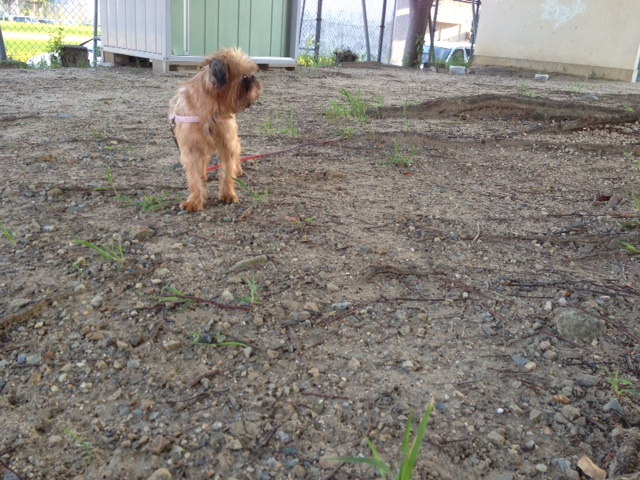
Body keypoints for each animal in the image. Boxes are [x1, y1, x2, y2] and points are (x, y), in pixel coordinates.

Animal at [169, 48, 263, 211]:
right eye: (245, 77)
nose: (255, 79)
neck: (210, 112)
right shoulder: (190, 149)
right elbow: (193, 177)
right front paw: (195, 200)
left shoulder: (227, 144)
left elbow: (227, 171)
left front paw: (228, 194)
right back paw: (202, 174)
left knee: (236, 154)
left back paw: (238, 169)